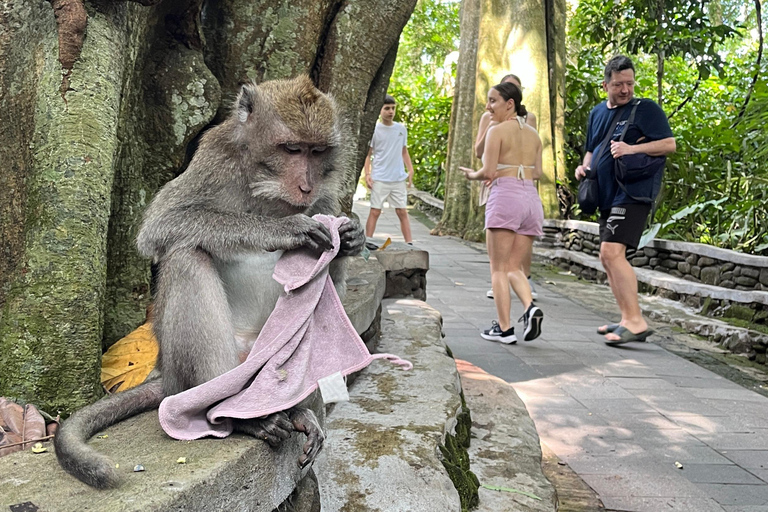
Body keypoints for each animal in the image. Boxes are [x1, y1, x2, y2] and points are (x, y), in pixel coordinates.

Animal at [54, 75, 365, 489]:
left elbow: (333, 272)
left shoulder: (327, 199)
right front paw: (282, 230)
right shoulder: (214, 160)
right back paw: (235, 416)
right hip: (199, 369)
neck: (266, 191)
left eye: (317, 152)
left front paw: (352, 238)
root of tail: (167, 377)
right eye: (292, 149)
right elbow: (161, 225)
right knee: (186, 255)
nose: (306, 187)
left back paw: (296, 411)